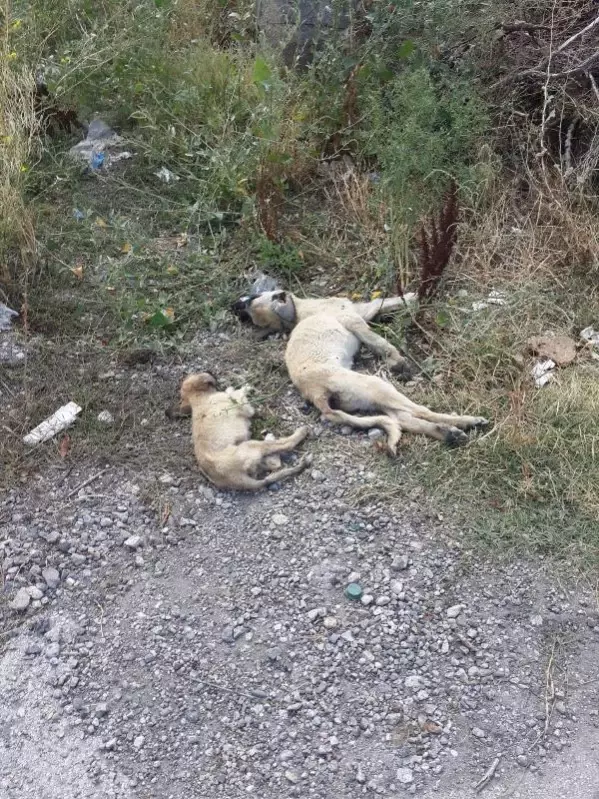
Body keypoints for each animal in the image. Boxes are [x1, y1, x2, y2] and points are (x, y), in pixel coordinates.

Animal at [179, 374, 312, 490]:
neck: (197, 399)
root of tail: (234, 479)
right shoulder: (244, 407)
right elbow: (238, 394)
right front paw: (243, 387)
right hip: (252, 445)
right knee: (285, 446)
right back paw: (300, 432)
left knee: (274, 464)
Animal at [232, 292, 490, 456]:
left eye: (252, 298)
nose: (237, 304)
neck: (301, 312)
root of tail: (315, 394)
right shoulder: (357, 317)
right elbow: (381, 316)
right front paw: (412, 297)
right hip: (376, 386)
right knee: (419, 412)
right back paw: (465, 422)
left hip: (369, 398)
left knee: (405, 420)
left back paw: (448, 435)